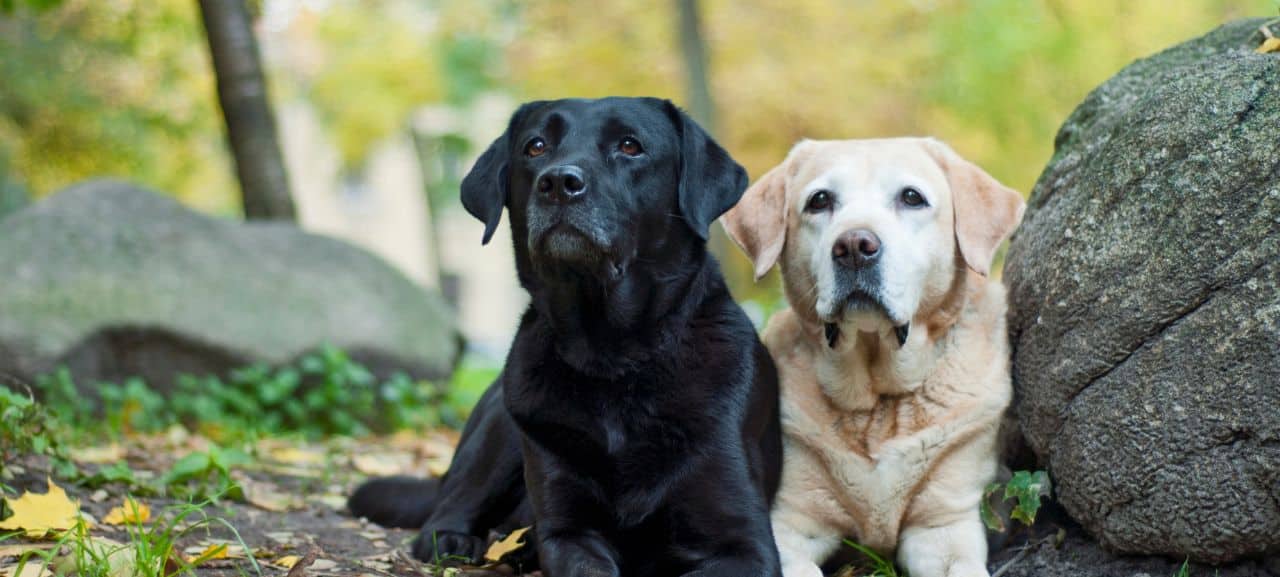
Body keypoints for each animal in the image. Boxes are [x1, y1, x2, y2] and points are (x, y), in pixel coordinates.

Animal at [345, 99, 778, 577]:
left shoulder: (745, 544)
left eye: (631, 145)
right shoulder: (568, 531)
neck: (613, 359)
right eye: (536, 146)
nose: (557, 183)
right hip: (501, 426)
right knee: (447, 509)